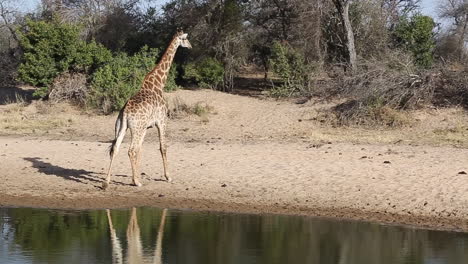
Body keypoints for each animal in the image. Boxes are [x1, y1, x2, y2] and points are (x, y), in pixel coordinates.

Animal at [103, 29, 192, 189]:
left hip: (122, 127)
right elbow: (163, 147)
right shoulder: (162, 121)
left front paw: (138, 175)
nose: (191, 46)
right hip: (136, 128)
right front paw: (168, 177)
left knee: (115, 148)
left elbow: (141, 150)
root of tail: (125, 112)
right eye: (186, 39)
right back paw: (136, 182)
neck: (158, 84)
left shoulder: (146, 127)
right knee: (131, 150)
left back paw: (106, 182)